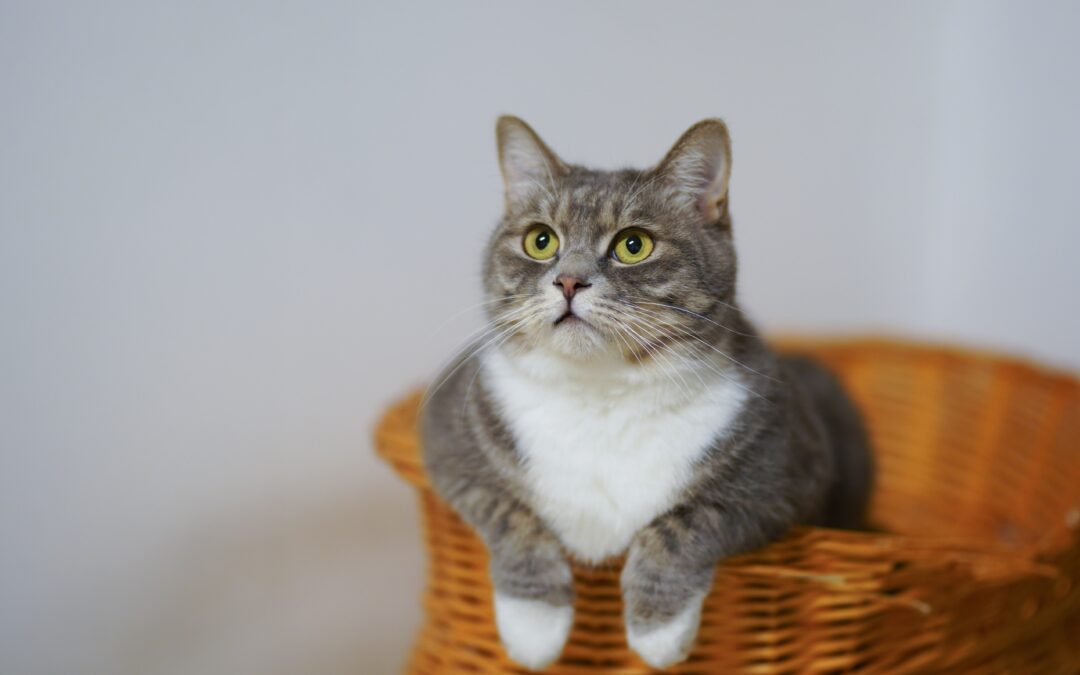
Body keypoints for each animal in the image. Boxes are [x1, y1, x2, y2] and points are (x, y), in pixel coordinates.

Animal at [416, 115, 872, 669]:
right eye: (540, 241)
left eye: (634, 245)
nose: (569, 281)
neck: (602, 393)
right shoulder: (448, 436)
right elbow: (508, 511)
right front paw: (534, 624)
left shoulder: (782, 469)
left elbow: (687, 521)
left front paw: (659, 631)